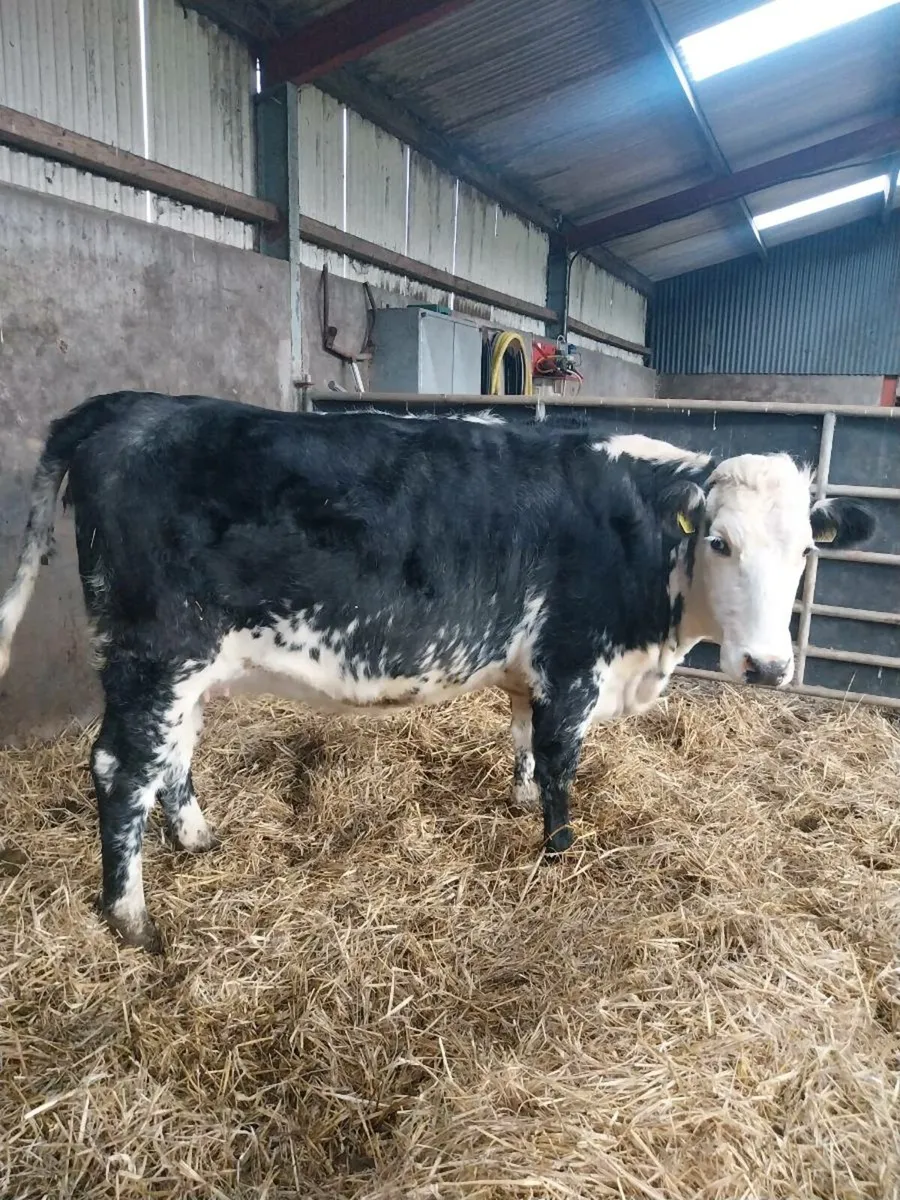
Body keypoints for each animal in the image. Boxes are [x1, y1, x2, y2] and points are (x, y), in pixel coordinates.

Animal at [0, 391, 875, 951]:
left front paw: (520, 800)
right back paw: (132, 919)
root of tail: (132, 406)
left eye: (806, 549)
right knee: (120, 768)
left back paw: (197, 839)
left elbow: (524, 743)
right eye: (720, 542)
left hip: (184, 665)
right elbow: (561, 763)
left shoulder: (533, 671)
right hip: (155, 650)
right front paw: (558, 853)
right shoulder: (572, 662)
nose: (768, 665)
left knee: (169, 757)